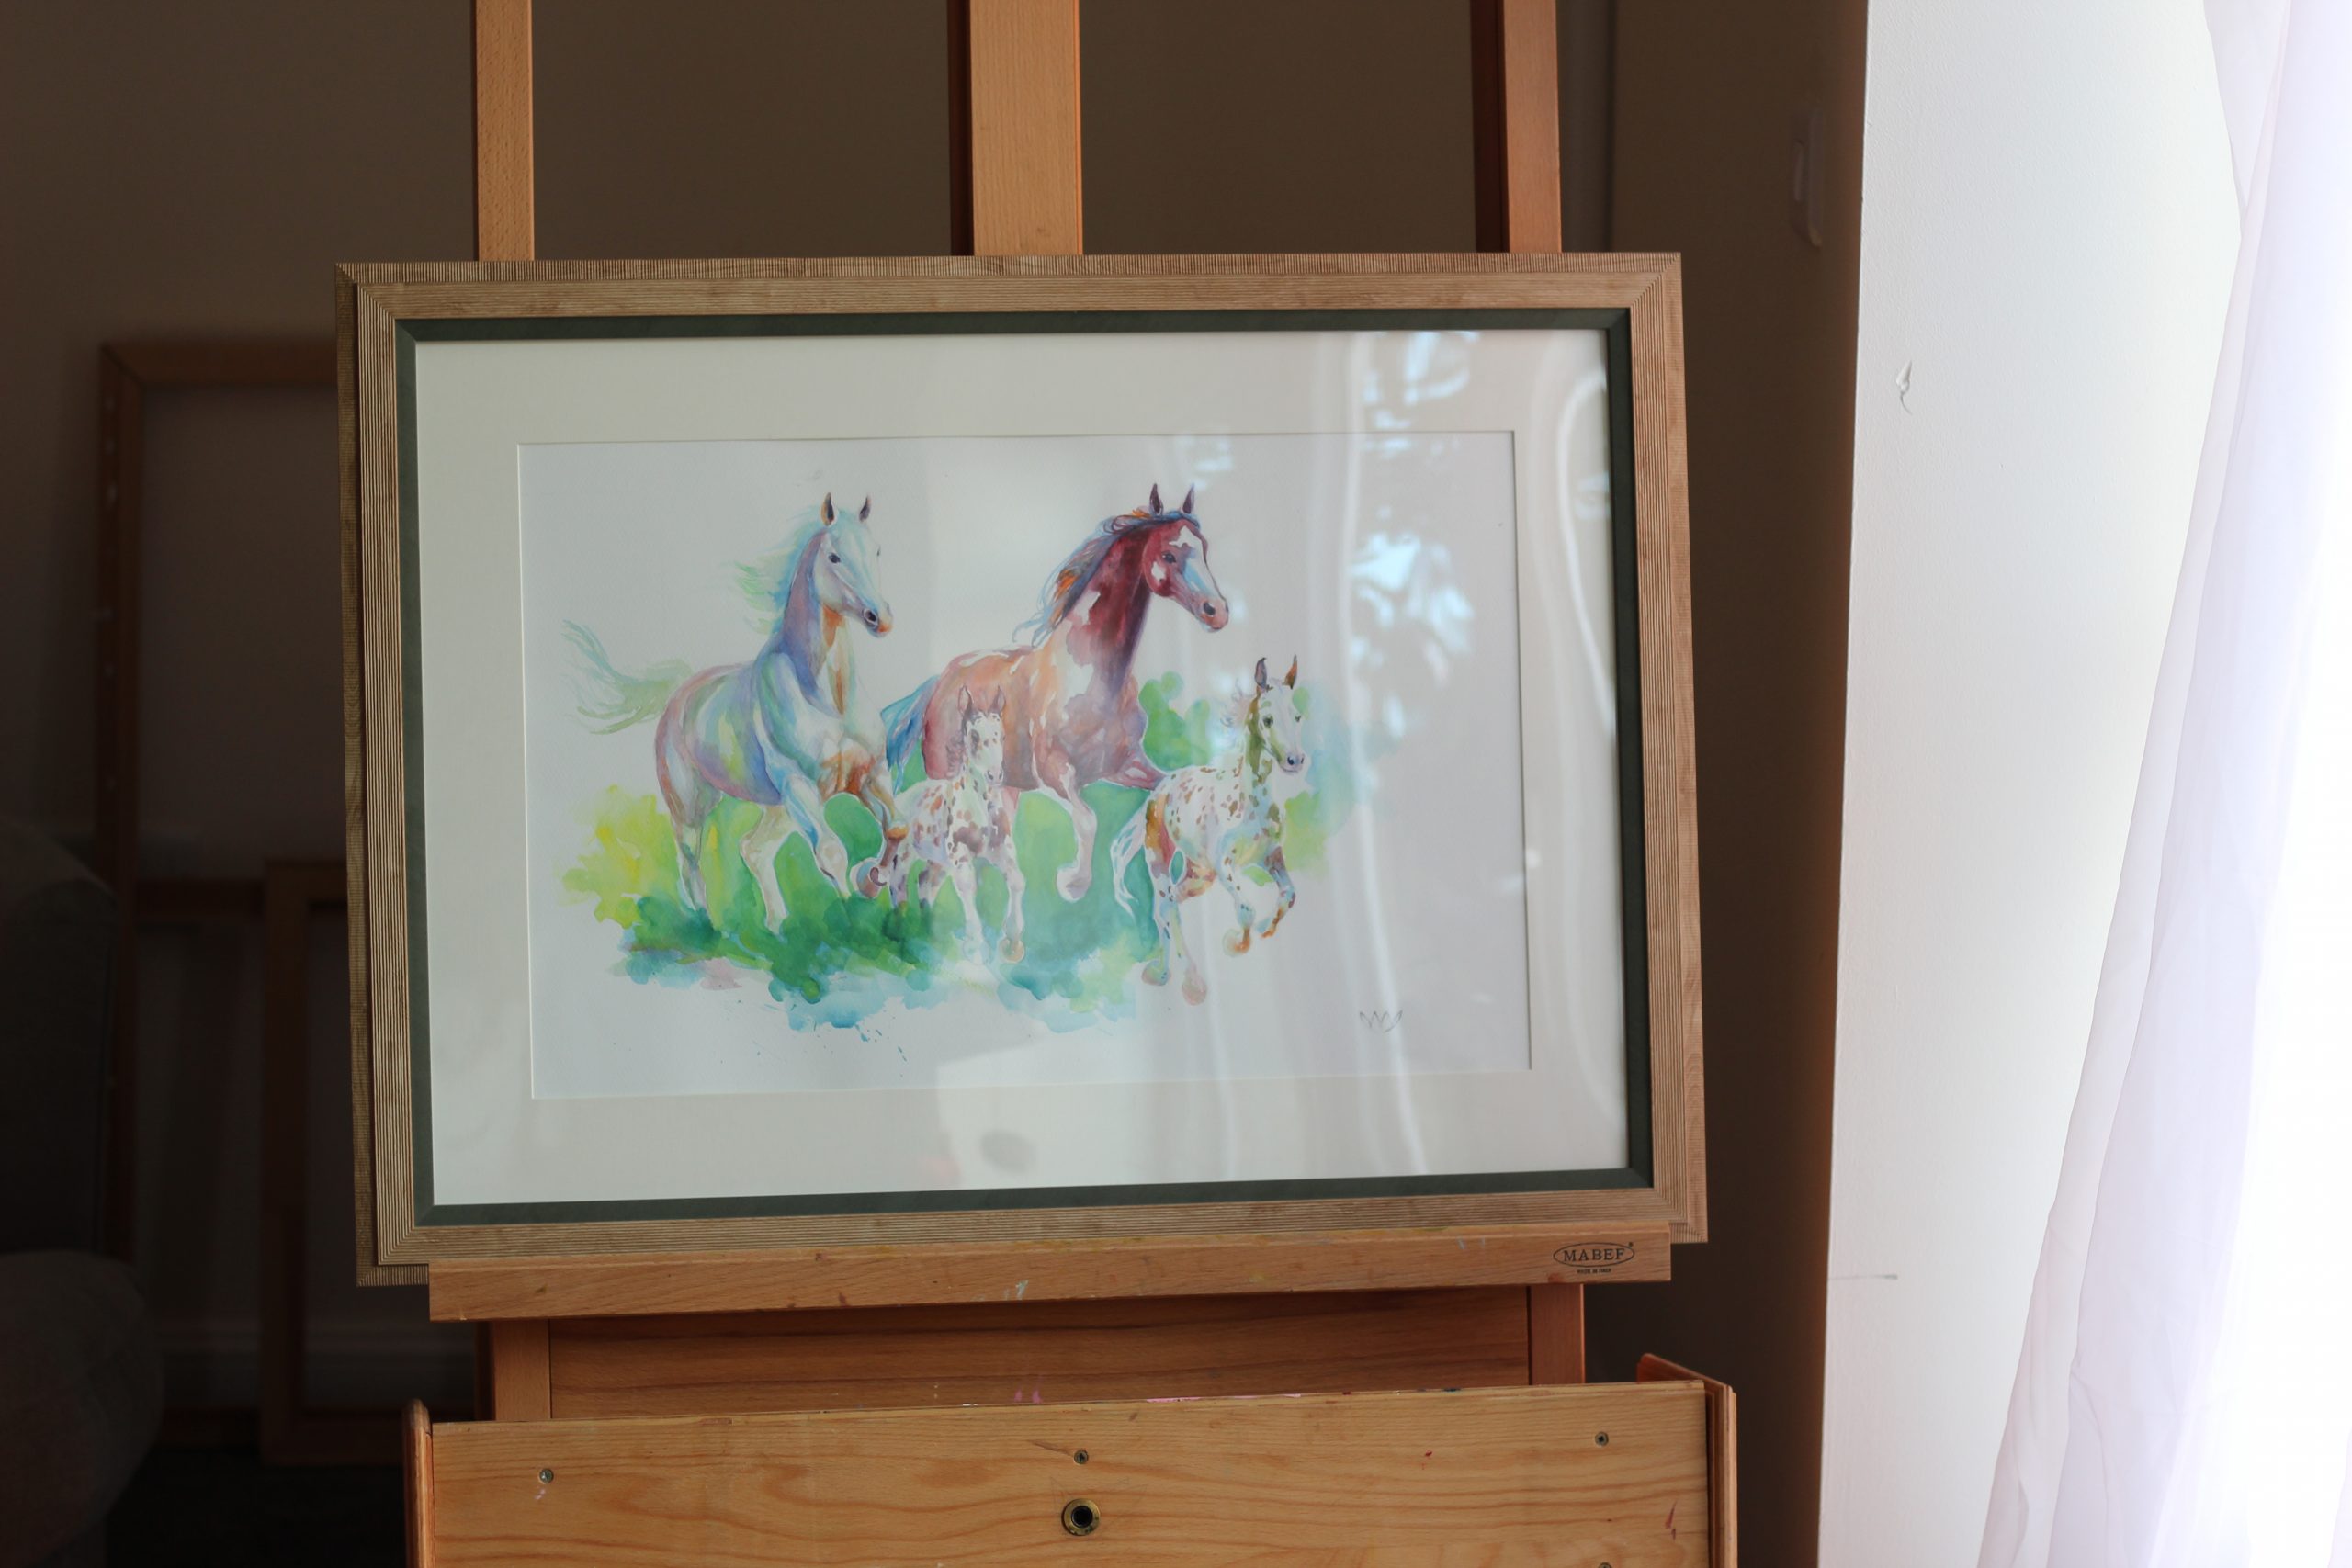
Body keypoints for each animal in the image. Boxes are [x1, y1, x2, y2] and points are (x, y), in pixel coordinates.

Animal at [565, 493, 899, 929]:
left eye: (877, 550)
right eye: (834, 556)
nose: (881, 619)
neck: (828, 700)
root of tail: (680, 696)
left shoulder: (870, 775)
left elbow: (897, 829)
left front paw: (879, 885)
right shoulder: (799, 784)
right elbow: (831, 853)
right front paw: (854, 917)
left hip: (778, 809)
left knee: (753, 849)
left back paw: (776, 927)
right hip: (693, 806)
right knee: (691, 863)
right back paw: (708, 927)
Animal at [869, 690, 1026, 964]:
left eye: (1002, 735)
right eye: (974, 736)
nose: (995, 775)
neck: (981, 806)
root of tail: (900, 801)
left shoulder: (1000, 848)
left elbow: (1017, 880)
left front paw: (1013, 943)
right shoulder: (960, 853)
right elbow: (968, 887)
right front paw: (975, 947)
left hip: (939, 861)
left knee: (925, 884)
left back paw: (931, 933)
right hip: (905, 856)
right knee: (898, 888)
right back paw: (899, 934)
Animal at [880, 483, 1227, 903]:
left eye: (1204, 547)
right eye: (1169, 554)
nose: (1217, 611)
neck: (1092, 680)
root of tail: (939, 682)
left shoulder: (1124, 765)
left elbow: (1167, 783)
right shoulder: (1055, 774)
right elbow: (1089, 819)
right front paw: (1072, 883)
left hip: (1005, 790)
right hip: (951, 782)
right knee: (931, 875)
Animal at [1109, 656, 1307, 1004]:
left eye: (1297, 716)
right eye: (1268, 719)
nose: (1295, 760)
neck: (1248, 801)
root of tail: (1160, 789)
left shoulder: (1271, 857)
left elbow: (1288, 895)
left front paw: (1265, 929)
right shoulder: (1224, 865)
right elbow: (1245, 908)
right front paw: (1235, 943)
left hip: (1199, 875)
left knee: (1168, 906)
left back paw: (1172, 975)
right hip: (1161, 861)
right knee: (1164, 908)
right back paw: (1185, 980)